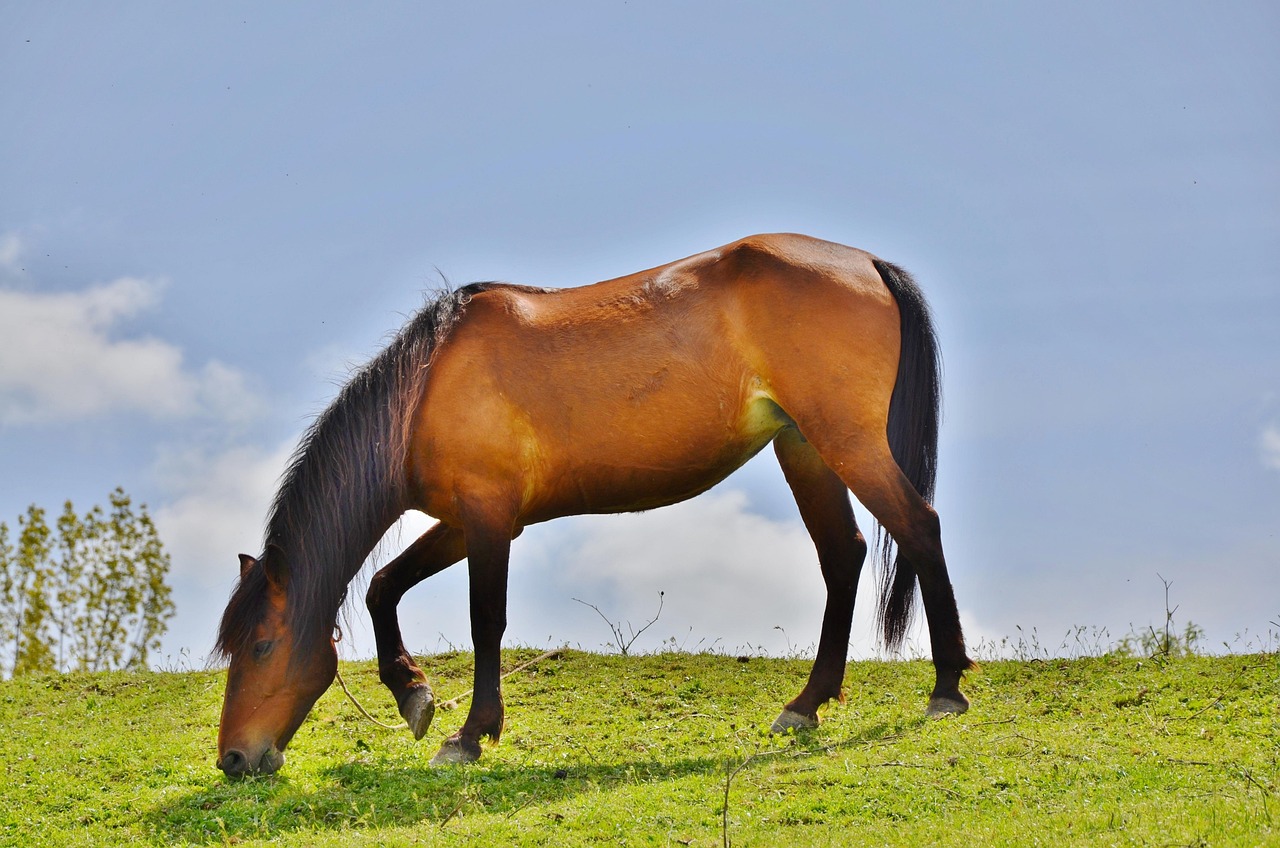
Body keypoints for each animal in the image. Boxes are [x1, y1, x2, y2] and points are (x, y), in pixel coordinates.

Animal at [214, 233, 973, 776]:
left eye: (262, 645)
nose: (233, 759)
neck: (426, 386)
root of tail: (867, 262)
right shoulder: (465, 519)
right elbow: (382, 588)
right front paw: (414, 695)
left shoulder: (488, 521)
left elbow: (485, 622)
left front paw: (470, 734)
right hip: (805, 448)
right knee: (843, 556)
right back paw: (807, 706)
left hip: (847, 443)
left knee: (919, 528)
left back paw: (946, 689)